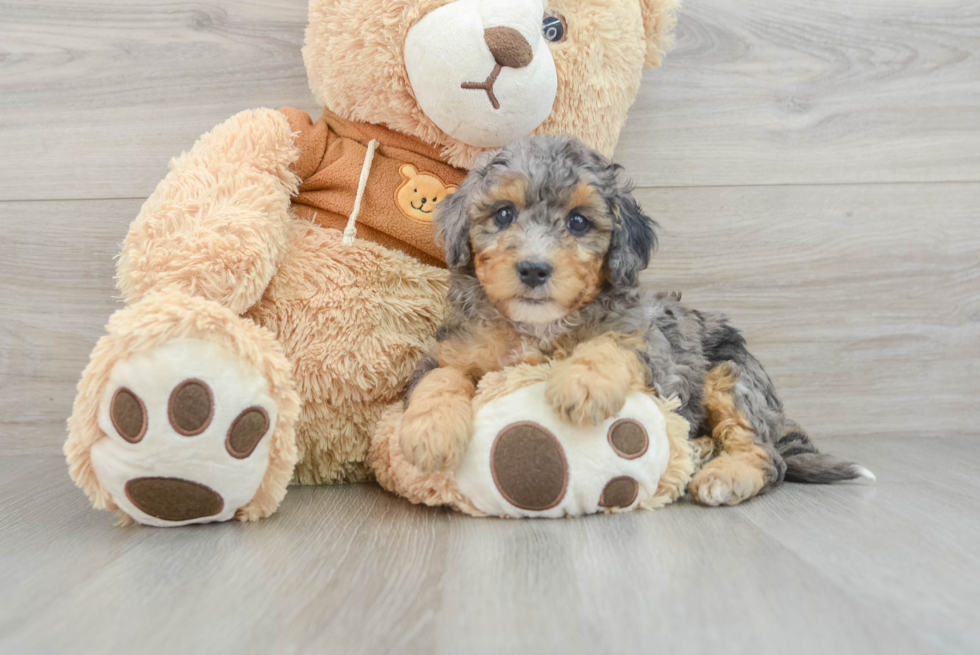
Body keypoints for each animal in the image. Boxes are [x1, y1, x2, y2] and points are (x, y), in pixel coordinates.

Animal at [398, 135, 872, 508]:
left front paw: (581, 384)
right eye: (502, 214)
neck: (538, 327)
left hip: (733, 376)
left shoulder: (652, 351)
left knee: (765, 456)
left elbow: (610, 344)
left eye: (578, 221)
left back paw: (724, 475)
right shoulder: (451, 349)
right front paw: (429, 433)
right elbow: (439, 378)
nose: (534, 269)